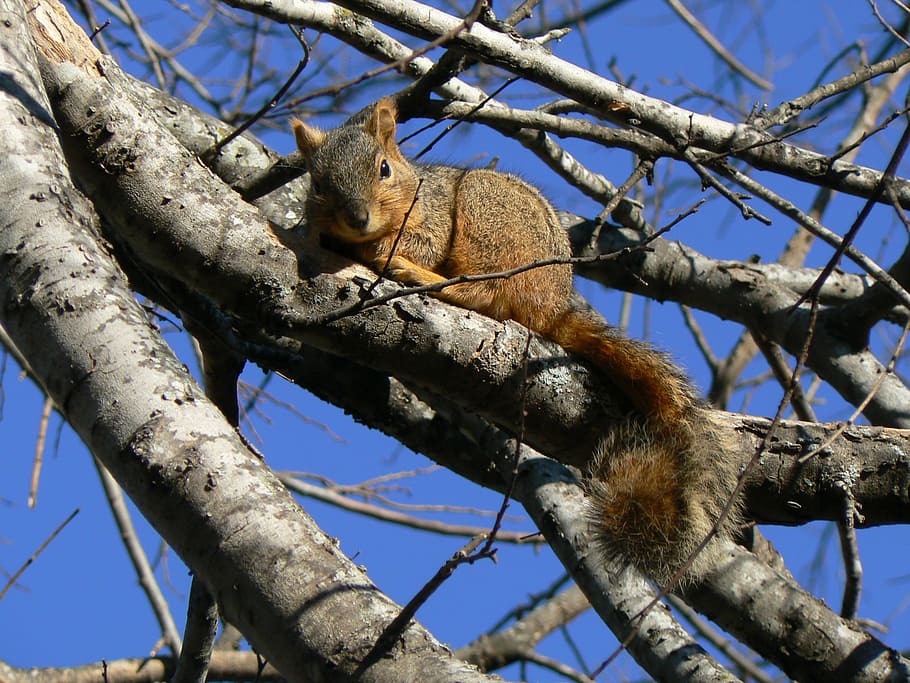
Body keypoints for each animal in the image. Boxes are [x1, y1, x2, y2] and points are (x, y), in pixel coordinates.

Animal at [291, 98, 741, 585]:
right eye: (318, 183)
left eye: (384, 169)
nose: (356, 219)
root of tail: (551, 305)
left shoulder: (433, 219)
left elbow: (419, 244)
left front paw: (378, 251)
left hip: (487, 219)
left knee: (484, 292)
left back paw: (420, 276)